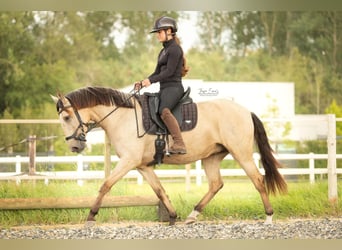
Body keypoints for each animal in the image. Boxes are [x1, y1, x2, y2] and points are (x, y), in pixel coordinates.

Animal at [50, 85, 288, 226]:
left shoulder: (128, 161)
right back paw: (192, 215)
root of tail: (245, 111)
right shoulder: (143, 166)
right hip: (211, 156)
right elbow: (160, 191)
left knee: (257, 180)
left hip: (241, 153)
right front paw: (172, 217)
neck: (122, 117)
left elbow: (106, 185)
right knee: (215, 184)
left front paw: (91, 216)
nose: (75, 147)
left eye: (67, 117)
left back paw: (269, 217)